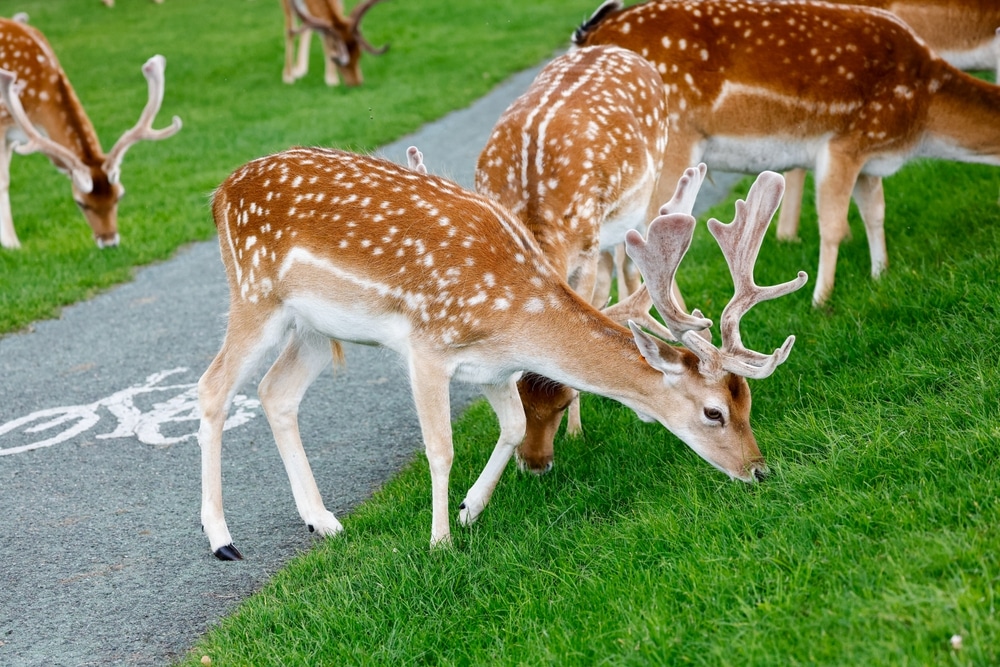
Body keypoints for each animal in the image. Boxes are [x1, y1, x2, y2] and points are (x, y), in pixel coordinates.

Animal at [196, 145, 806, 559]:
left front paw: (471, 509)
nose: (759, 471)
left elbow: (512, 427)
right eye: (714, 412)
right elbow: (439, 448)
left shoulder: (494, 368)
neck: (516, 318)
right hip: (254, 293)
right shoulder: (428, 346)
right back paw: (223, 539)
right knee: (213, 387)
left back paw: (321, 520)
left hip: (315, 328)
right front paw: (440, 540)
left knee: (275, 392)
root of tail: (220, 194)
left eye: (749, 403)